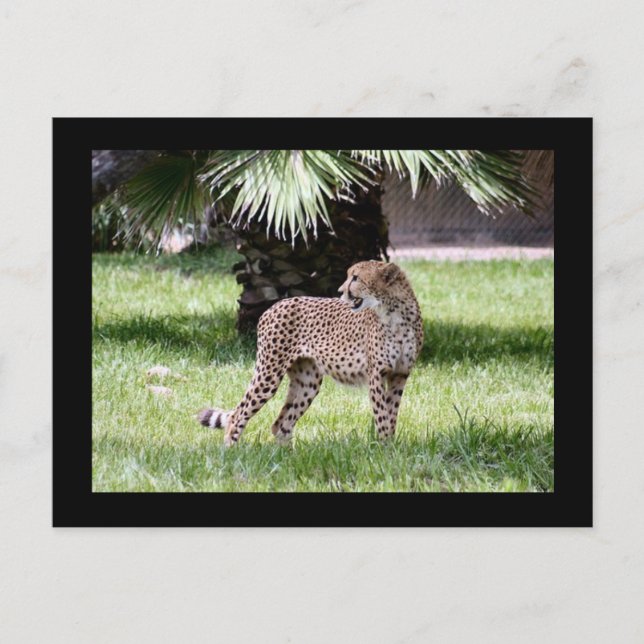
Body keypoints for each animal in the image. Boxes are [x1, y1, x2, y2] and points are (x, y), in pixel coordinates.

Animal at [197, 260, 423, 446]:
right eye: (350, 276)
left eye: (356, 278)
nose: (341, 291)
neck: (394, 312)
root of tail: (275, 305)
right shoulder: (377, 374)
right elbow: (382, 415)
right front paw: (385, 448)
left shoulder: (400, 374)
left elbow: (391, 413)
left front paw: (391, 447)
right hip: (269, 373)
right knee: (238, 415)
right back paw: (231, 451)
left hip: (308, 382)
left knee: (281, 423)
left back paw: (287, 458)